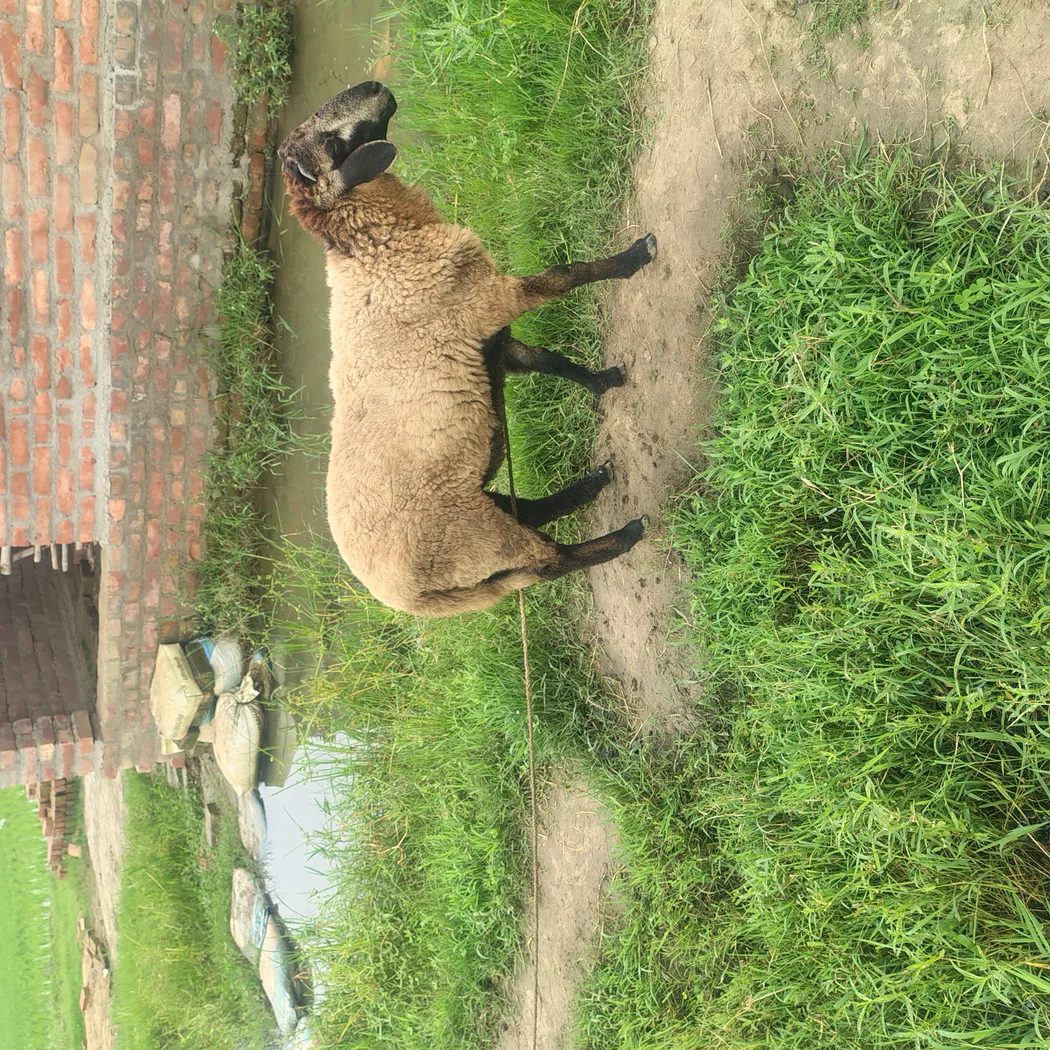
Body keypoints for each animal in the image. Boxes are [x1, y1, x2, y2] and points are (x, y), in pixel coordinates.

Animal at [279, 81, 657, 617]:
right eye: (332, 144)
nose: (375, 86)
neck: (376, 248)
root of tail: (411, 601)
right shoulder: (491, 301)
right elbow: (566, 274)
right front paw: (634, 257)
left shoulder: (486, 338)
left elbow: (548, 359)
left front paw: (602, 381)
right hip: (475, 536)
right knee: (551, 560)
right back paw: (624, 534)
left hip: (475, 517)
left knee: (529, 513)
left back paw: (591, 485)